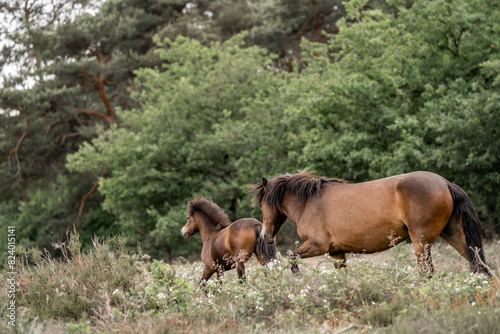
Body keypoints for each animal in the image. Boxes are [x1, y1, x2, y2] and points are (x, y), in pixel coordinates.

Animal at [252, 171, 490, 276]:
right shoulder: (336, 253)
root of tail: (445, 183)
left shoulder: (317, 246)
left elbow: (291, 258)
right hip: (454, 235)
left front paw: (298, 277)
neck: (309, 201)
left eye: (262, 205)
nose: (265, 236)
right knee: (480, 265)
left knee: (428, 273)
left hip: (421, 243)